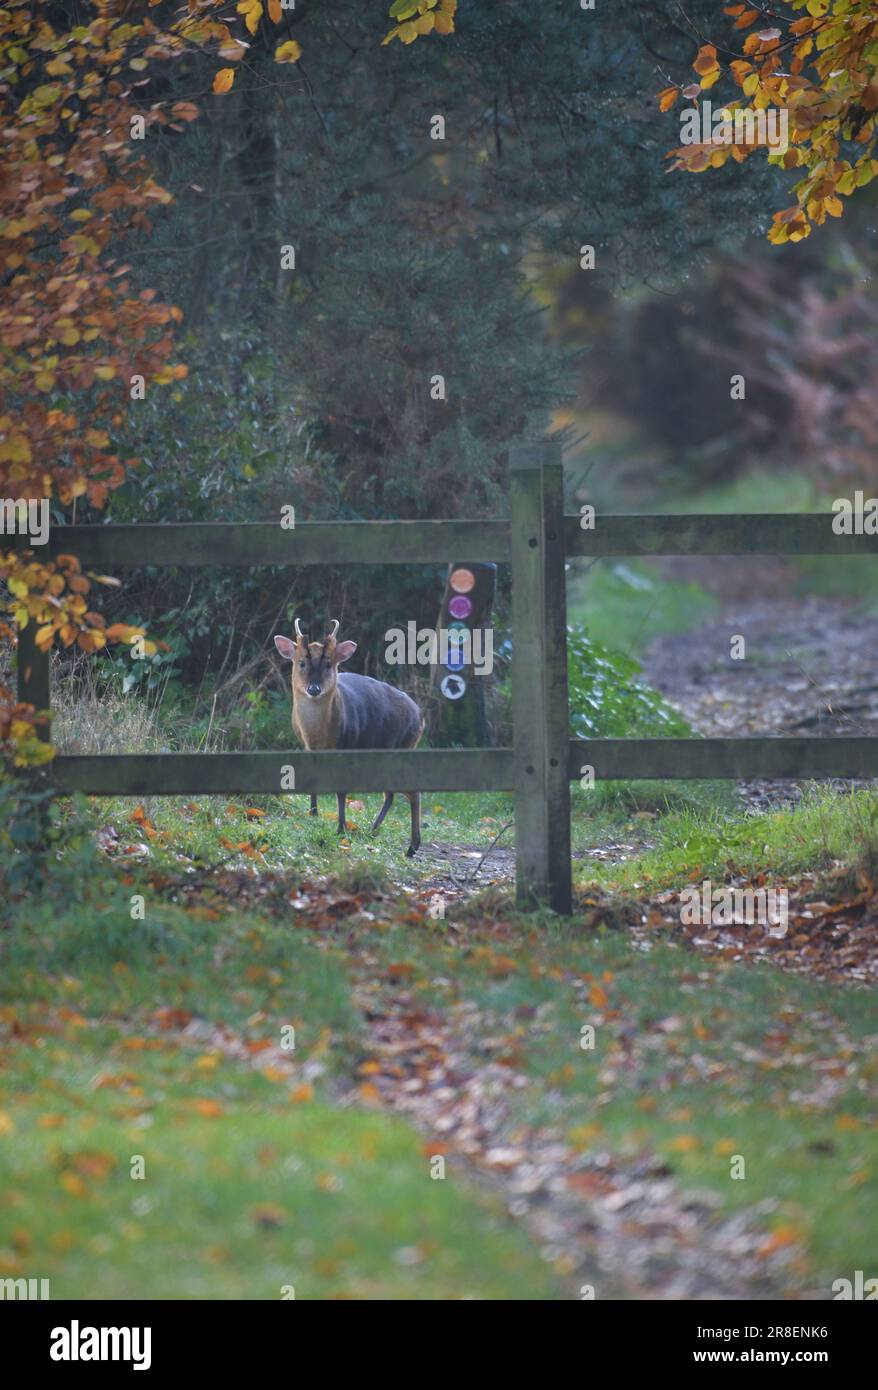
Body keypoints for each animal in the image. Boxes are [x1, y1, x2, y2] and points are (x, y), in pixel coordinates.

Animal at [275, 622, 425, 856]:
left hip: (402, 745)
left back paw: (412, 846)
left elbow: (341, 790)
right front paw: (313, 813)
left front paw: (340, 828)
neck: (319, 736)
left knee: (411, 791)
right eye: (301, 662)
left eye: (329, 664)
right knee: (391, 793)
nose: (314, 689)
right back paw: (373, 830)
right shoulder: (307, 747)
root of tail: (420, 716)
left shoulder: (347, 744)